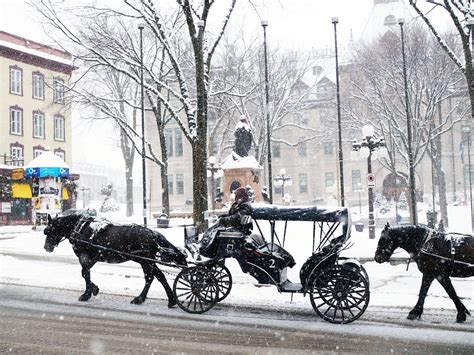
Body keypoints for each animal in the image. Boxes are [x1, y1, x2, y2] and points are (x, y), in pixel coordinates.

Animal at [43, 211, 186, 308]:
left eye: (49, 230)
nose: (46, 247)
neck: (80, 228)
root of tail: (152, 233)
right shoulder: (92, 258)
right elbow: (86, 273)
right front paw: (93, 290)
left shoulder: (84, 256)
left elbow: (84, 273)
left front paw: (88, 293)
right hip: (146, 260)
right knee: (155, 276)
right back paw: (162, 299)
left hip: (145, 260)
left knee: (154, 276)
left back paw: (147, 299)